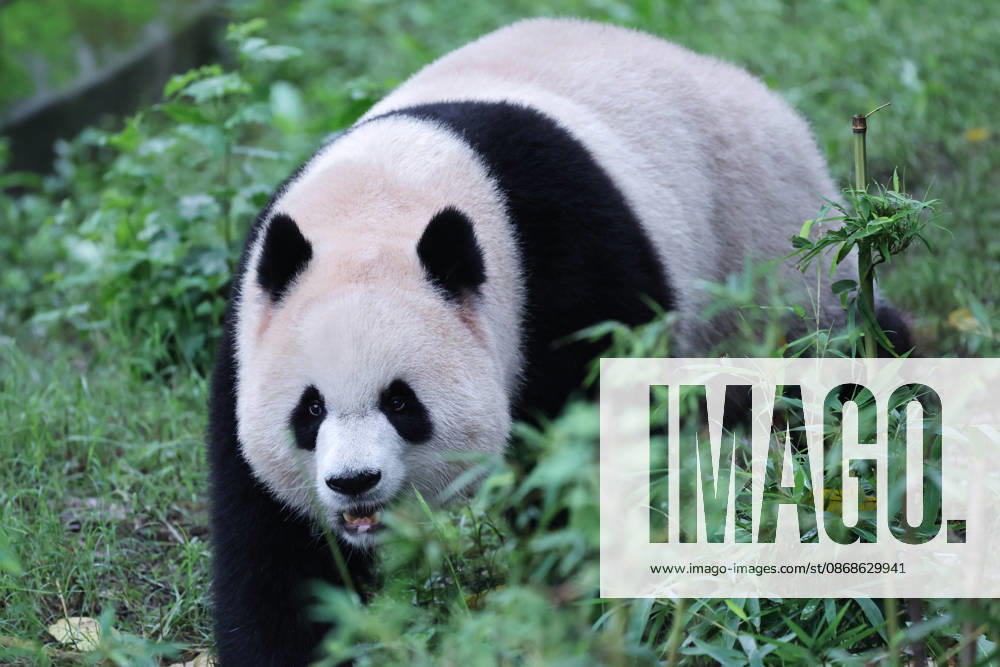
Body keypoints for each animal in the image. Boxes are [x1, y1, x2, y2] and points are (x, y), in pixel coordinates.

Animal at [207, 18, 910, 665]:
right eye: (310, 409)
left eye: (402, 403)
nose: (354, 482)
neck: (387, 193)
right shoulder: (250, 324)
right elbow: (272, 540)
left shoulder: (564, 261)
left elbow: (586, 446)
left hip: (768, 256)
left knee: (830, 365)